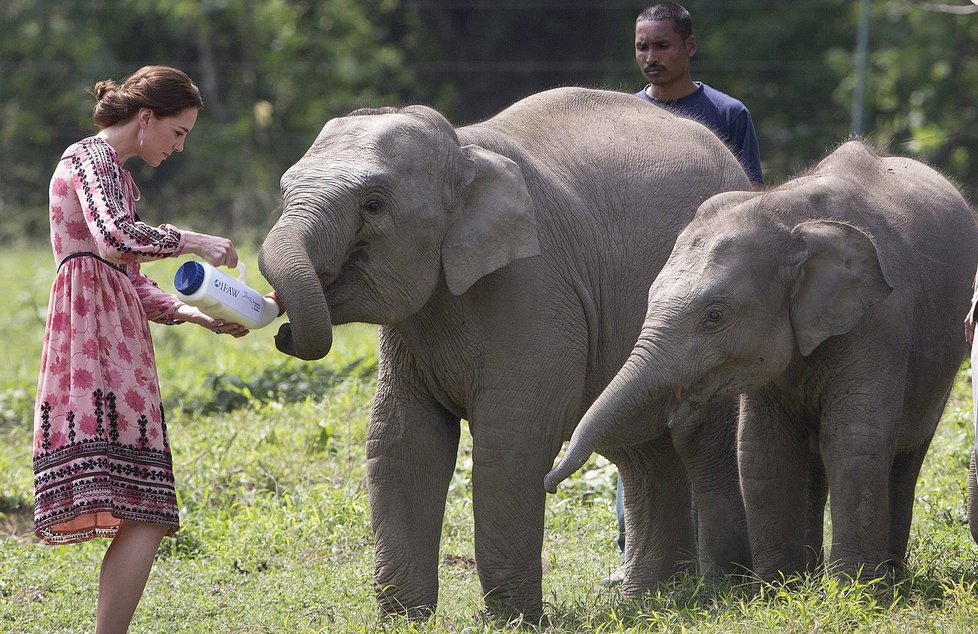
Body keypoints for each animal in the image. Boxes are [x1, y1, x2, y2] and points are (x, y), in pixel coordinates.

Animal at [255, 86, 752, 616]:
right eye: (284, 192)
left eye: (373, 204)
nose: (281, 330)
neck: (462, 149)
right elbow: (402, 438)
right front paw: (404, 619)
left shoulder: (536, 286)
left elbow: (512, 439)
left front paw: (515, 619)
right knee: (640, 450)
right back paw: (649, 599)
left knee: (701, 441)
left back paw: (721, 588)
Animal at [544, 139, 976, 584]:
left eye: (714, 315)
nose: (549, 482)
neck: (788, 215)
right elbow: (761, 447)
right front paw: (779, 586)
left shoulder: (882, 322)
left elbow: (855, 439)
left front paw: (856, 588)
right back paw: (815, 573)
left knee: (905, 453)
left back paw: (889, 574)